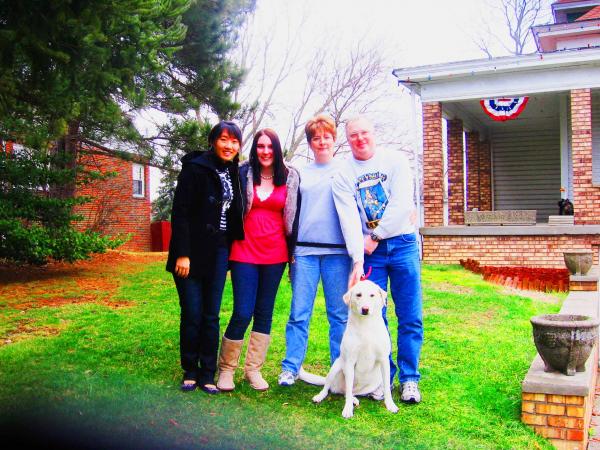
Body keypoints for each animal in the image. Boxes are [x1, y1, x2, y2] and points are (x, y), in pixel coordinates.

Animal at [310, 282, 398, 418]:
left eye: (372, 295)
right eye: (358, 295)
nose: (365, 309)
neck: (366, 325)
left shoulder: (384, 360)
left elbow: (387, 389)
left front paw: (390, 405)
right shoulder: (350, 362)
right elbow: (348, 388)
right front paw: (347, 409)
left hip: (375, 380)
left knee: (349, 392)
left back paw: (354, 399)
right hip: (336, 368)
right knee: (334, 388)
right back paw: (321, 396)